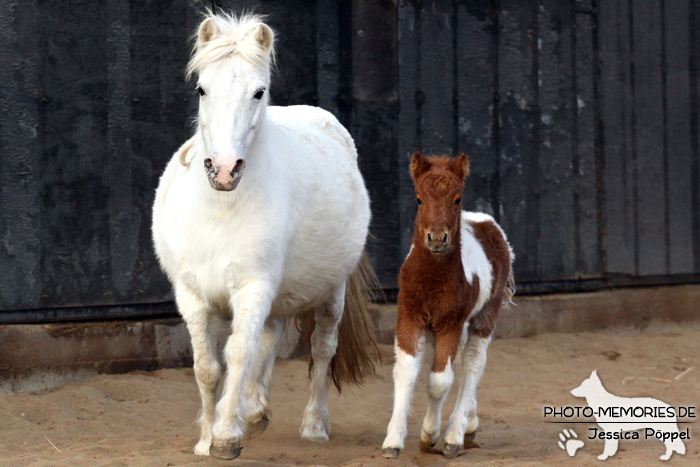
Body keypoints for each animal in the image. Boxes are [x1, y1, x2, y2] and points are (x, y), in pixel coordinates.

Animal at [152, 12, 378, 462]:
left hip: (331, 292)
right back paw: (254, 411)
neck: (220, 210)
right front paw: (206, 439)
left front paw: (225, 436)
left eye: (259, 92)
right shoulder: (192, 295)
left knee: (321, 349)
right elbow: (207, 368)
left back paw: (313, 426)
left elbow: (239, 353)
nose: (224, 169)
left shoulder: (253, 286)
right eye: (202, 88)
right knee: (270, 340)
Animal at [382, 154, 516, 460]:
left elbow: (439, 381)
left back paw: (456, 433)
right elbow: (405, 372)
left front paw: (430, 435)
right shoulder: (409, 316)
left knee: (472, 364)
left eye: (457, 199)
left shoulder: (450, 323)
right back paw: (470, 422)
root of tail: (485, 220)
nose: (437, 238)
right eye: (418, 199)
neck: (432, 278)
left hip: (483, 317)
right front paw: (393, 441)